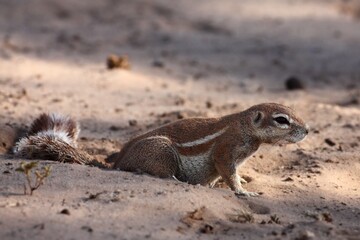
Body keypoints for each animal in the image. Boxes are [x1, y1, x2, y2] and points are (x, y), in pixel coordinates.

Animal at [108, 102, 308, 196]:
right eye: (281, 120)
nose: (308, 129)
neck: (243, 126)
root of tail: (120, 160)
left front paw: (242, 180)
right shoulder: (225, 149)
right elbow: (228, 172)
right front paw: (243, 191)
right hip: (163, 150)